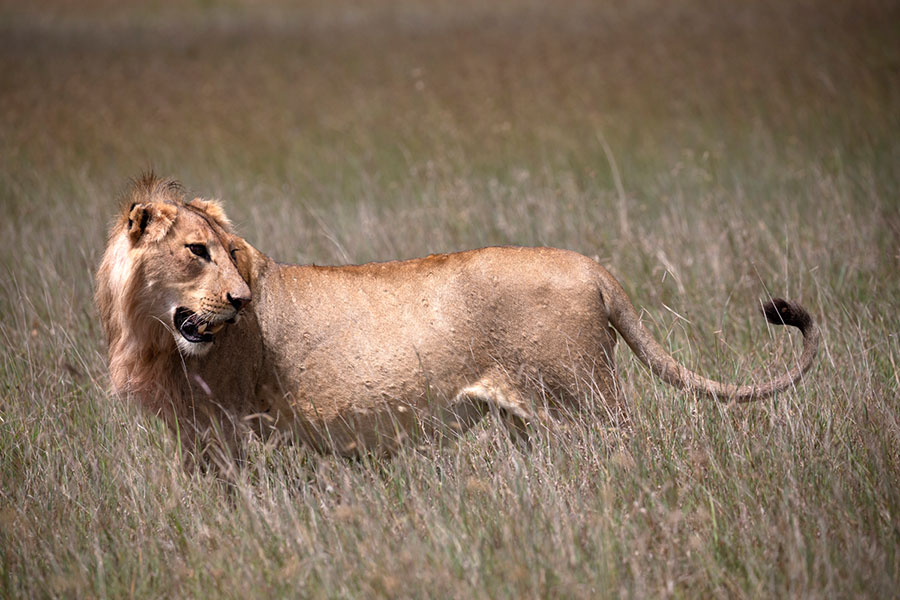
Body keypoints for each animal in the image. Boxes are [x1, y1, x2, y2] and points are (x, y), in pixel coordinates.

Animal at [95, 173, 820, 460]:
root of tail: (592, 267)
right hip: (537, 418)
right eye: (197, 251)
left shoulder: (243, 434)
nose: (242, 302)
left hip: (586, 398)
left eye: (227, 252)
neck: (154, 340)